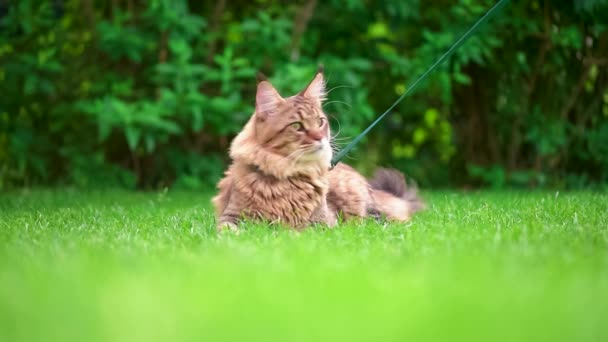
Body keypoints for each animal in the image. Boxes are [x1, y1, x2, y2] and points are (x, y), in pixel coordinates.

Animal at [213, 68, 422, 231]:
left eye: (320, 122)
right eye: (297, 126)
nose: (320, 138)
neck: (288, 177)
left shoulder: (323, 222)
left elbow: (300, 231)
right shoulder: (232, 216)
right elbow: (230, 231)